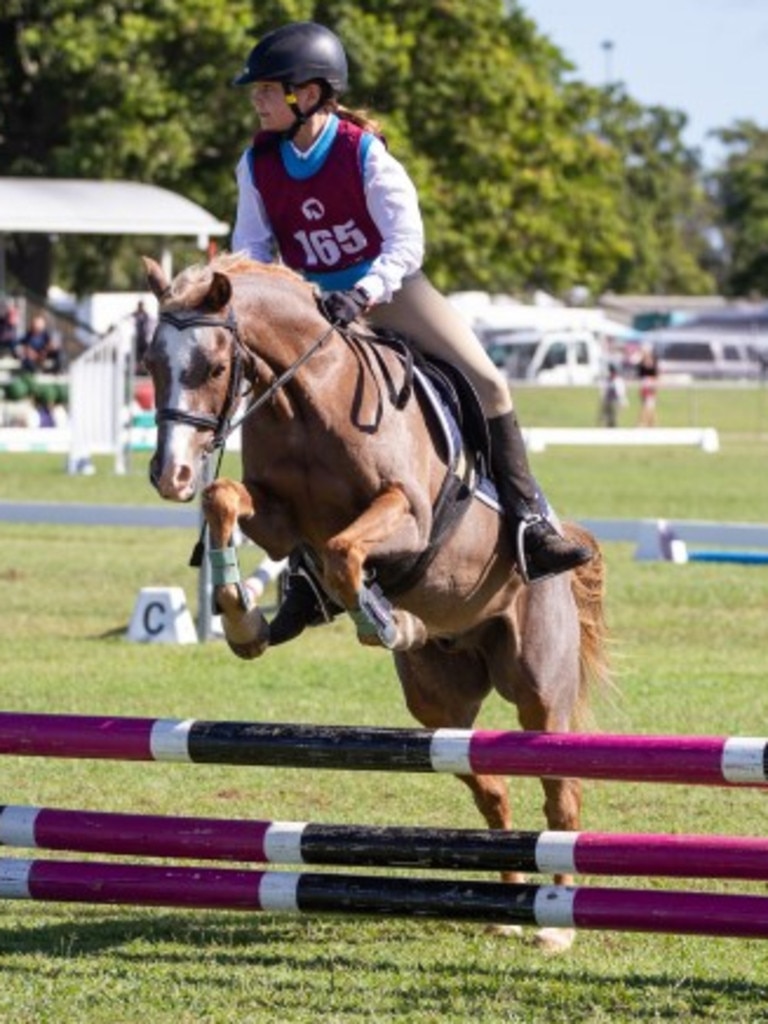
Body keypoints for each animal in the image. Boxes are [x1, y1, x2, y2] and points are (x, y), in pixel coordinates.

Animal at [144, 253, 610, 950]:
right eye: (150, 362)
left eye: (215, 368)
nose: (168, 475)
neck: (309, 397)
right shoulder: (278, 520)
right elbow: (225, 498)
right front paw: (243, 616)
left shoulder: (408, 514)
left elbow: (343, 550)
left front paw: (383, 617)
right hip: (438, 705)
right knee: (492, 789)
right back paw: (509, 905)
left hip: (538, 688)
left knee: (560, 792)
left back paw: (555, 921)